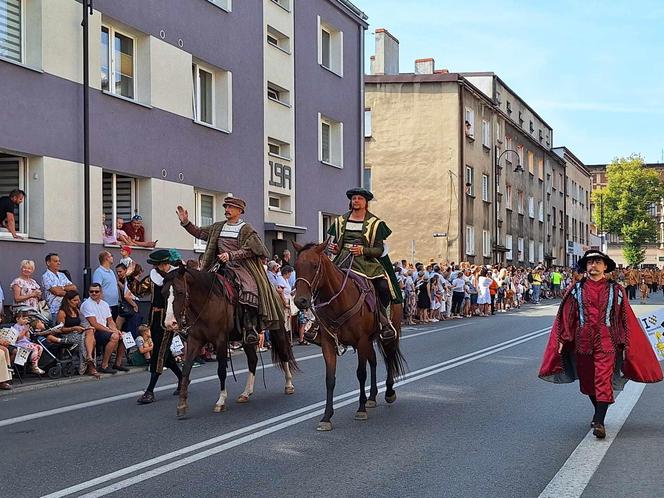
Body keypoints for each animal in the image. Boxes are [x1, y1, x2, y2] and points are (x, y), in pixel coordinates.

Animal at [162, 266, 296, 418]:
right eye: (163, 293)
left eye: (180, 292)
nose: (169, 323)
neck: (207, 302)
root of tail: (275, 289)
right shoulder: (195, 340)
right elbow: (186, 369)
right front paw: (182, 404)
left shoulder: (220, 340)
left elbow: (221, 370)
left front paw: (220, 401)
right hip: (246, 339)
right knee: (253, 360)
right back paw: (246, 393)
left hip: (277, 328)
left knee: (284, 353)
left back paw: (289, 385)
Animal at [294, 240, 408, 428]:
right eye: (296, 266)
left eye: (315, 265)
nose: (300, 301)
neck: (339, 301)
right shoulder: (328, 344)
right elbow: (330, 379)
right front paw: (326, 417)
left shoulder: (360, 340)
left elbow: (361, 374)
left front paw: (361, 409)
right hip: (370, 340)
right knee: (374, 361)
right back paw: (372, 397)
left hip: (390, 333)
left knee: (389, 358)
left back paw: (389, 392)